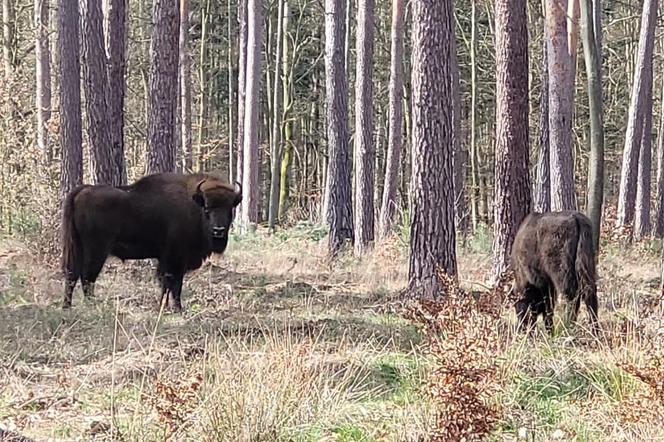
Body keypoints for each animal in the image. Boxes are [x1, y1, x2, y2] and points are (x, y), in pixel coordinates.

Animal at [61, 171, 243, 312]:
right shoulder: (175, 258)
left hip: (77, 247)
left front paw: (166, 306)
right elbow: (173, 283)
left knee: (72, 274)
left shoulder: (168, 259)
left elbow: (168, 283)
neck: (193, 203)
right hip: (96, 250)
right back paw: (91, 305)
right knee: (87, 276)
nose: (218, 230)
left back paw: (68, 307)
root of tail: (83, 190)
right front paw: (176, 308)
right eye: (207, 209)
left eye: (230, 209)